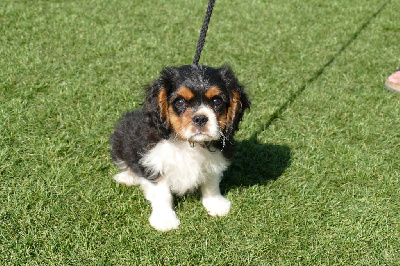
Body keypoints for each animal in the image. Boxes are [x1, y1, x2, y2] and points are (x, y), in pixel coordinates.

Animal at [111, 64, 248, 231]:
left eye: (217, 100)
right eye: (180, 101)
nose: (200, 118)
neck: (188, 143)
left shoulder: (216, 159)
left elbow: (211, 183)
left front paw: (216, 204)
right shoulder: (153, 162)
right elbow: (162, 194)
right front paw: (164, 219)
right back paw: (128, 177)